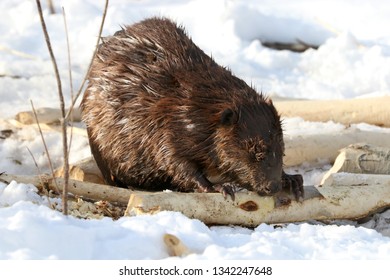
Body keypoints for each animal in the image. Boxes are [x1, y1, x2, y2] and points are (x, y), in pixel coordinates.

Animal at [80, 17, 304, 199]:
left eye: (281, 148)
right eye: (253, 151)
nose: (272, 187)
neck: (202, 109)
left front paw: (292, 180)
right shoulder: (165, 125)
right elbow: (175, 160)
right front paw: (218, 188)